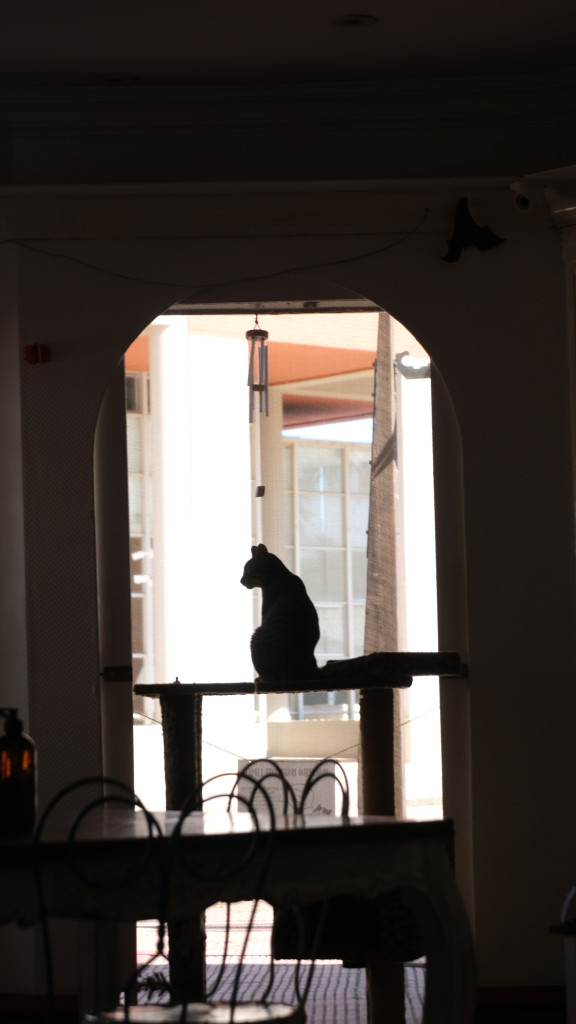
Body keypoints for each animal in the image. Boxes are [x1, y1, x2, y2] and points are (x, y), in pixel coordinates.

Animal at [240, 543, 320, 682]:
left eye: (248, 571)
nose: (241, 580)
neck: (281, 576)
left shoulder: (265, 611)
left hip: (255, 636)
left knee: (267, 677)